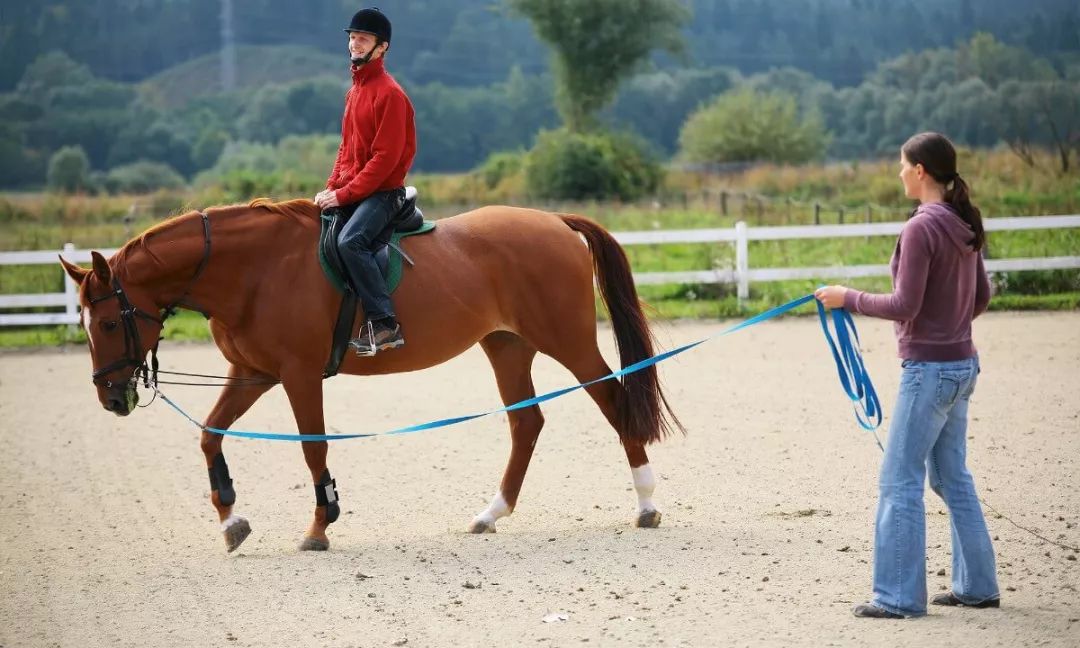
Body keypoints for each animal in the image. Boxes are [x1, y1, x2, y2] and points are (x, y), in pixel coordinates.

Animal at [59, 198, 678, 550]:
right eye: (85, 324)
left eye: (109, 321)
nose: (111, 397)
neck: (255, 270)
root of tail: (554, 222)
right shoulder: (252, 372)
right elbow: (210, 434)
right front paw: (231, 520)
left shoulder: (298, 374)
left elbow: (313, 447)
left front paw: (319, 525)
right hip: (506, 347)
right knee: (526, 424)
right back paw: (490, 514)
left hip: (567, 342)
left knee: (615, 402)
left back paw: (647, 504)